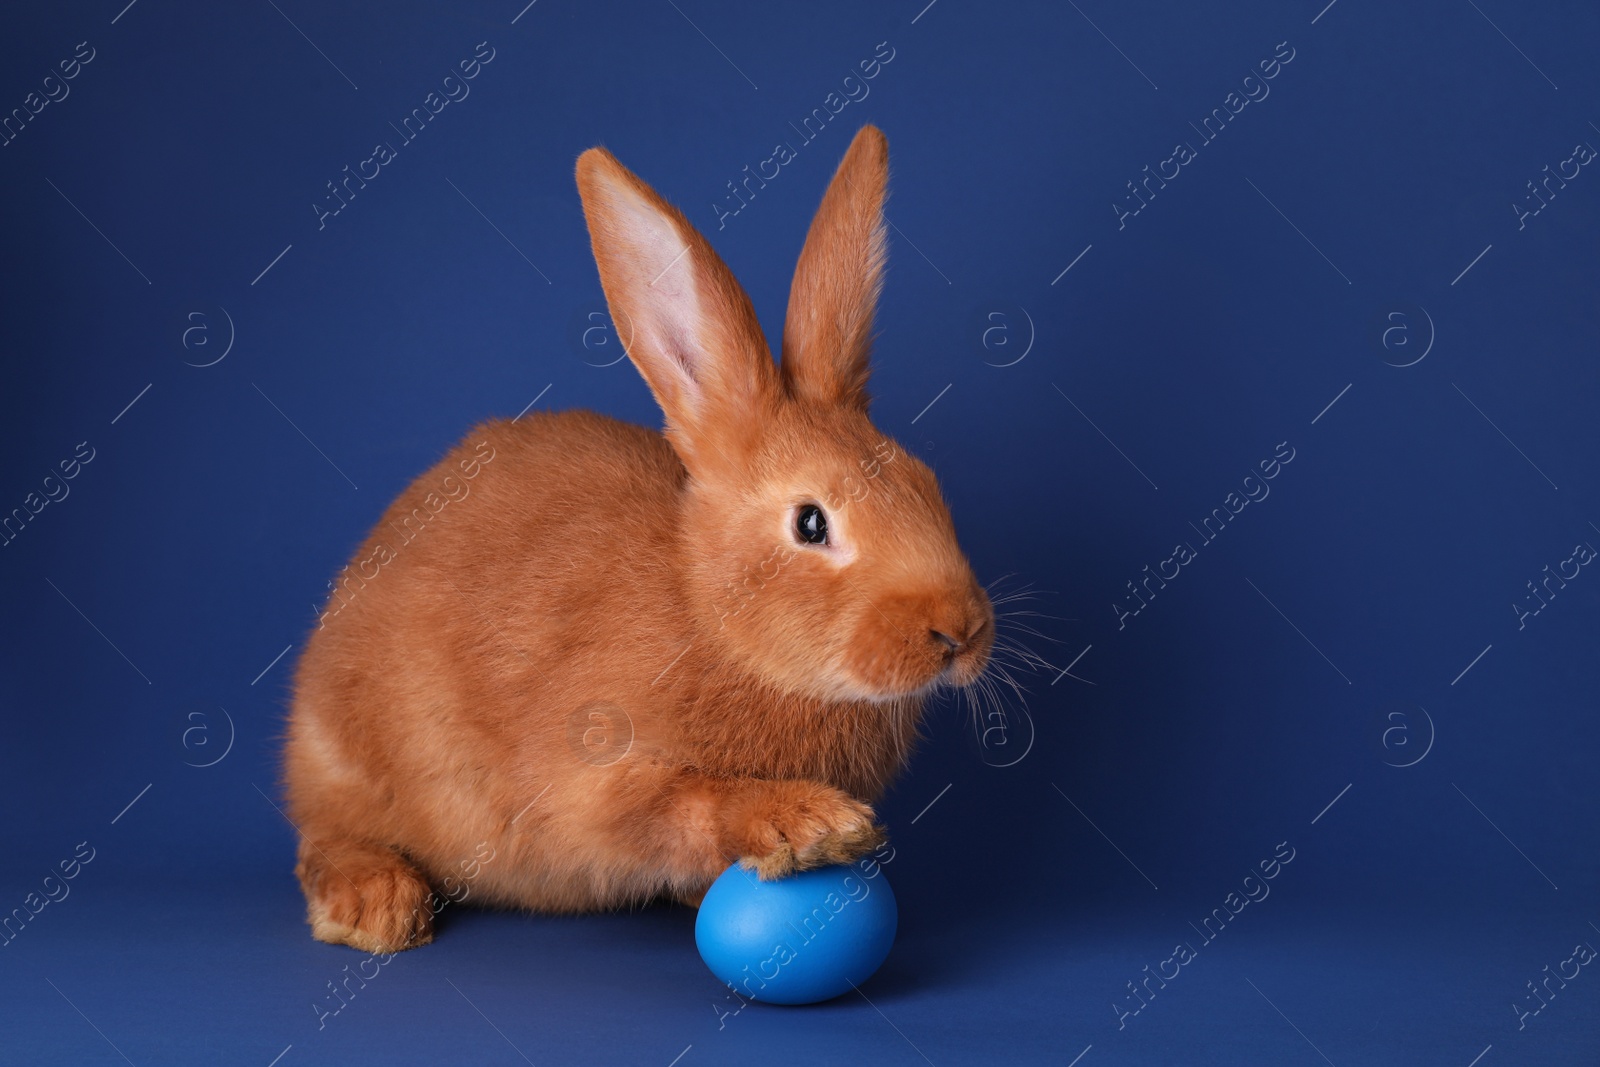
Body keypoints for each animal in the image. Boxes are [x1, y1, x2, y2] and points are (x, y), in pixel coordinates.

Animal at [281, 127, 992, 959]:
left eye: (926, 483)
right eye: (811, 522)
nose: (961, 631)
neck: (714, 621)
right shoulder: (595, 775)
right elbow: (685, 802)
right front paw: (808, 824)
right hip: (348, 759)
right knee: (323, 834)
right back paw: (374, 902)